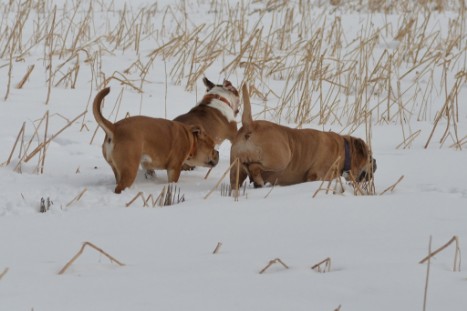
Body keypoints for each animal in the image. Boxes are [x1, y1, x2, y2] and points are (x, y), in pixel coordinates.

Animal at [230, 84, 376, 189]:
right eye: (369, 156)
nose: (375, 162)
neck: (345, 150)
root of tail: (251, 125)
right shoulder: (319, 174)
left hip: (235, 169)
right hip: (281, 159)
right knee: (254, 167)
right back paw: (259, 180)